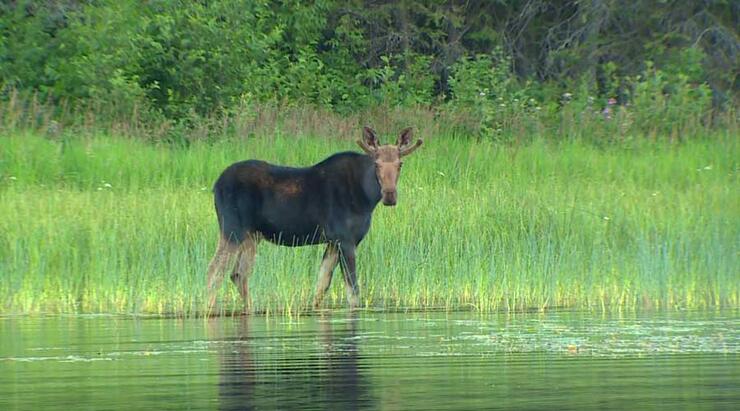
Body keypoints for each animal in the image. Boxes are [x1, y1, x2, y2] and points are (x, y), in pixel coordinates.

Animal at [205, 127, 422, 314]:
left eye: (400, 164)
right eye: (376, 164)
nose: (389, 195)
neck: (366, 197)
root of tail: (215, 186)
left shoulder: (333, 241)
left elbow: (321, 285)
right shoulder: (346, 239)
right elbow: (353, 292)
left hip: (251, 236)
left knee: (238, 274)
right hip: (232, 229)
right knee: (214, 271)